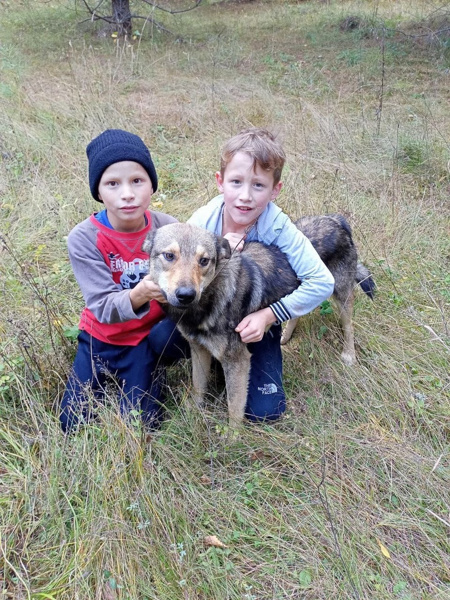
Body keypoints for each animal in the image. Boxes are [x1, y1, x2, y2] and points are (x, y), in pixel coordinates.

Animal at [143, 223, 298, 424]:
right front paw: (195, 412)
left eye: (204, 260)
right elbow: (198, 386)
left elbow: (234, 408)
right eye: (169, 256)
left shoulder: (237, 361)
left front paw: (233, 433)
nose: (186, 295)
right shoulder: (198, 349)